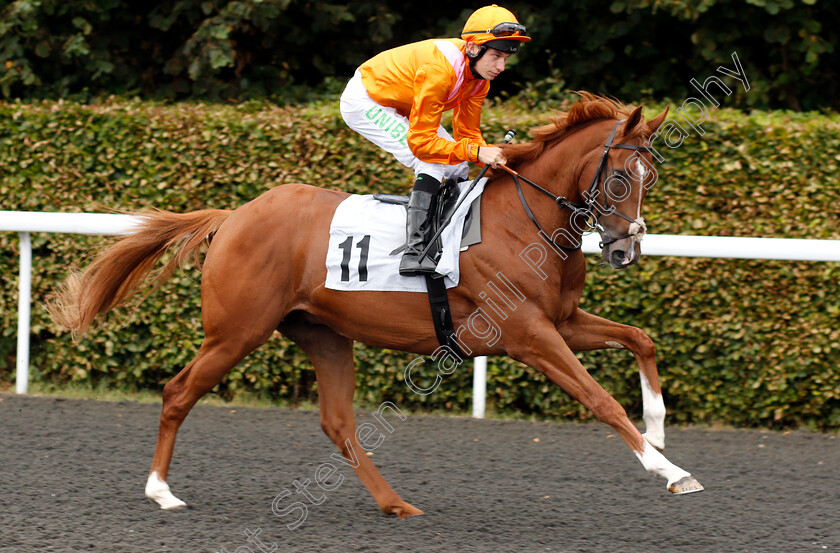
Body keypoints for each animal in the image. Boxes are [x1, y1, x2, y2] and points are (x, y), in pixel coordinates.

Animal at [46, 91, 704, 516]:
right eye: (619, 177)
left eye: (650, 178)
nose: (625, 248)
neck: (525, 220)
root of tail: (234, 215)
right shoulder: (527, 333)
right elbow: (600, 400)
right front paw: (672, 472)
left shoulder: (561, 320)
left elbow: (641, 338)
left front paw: (658, 428)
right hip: (237, 332)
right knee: (178, 392)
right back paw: (161, 491)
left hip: (324, 334)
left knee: (337, 422)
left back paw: (396, 504)